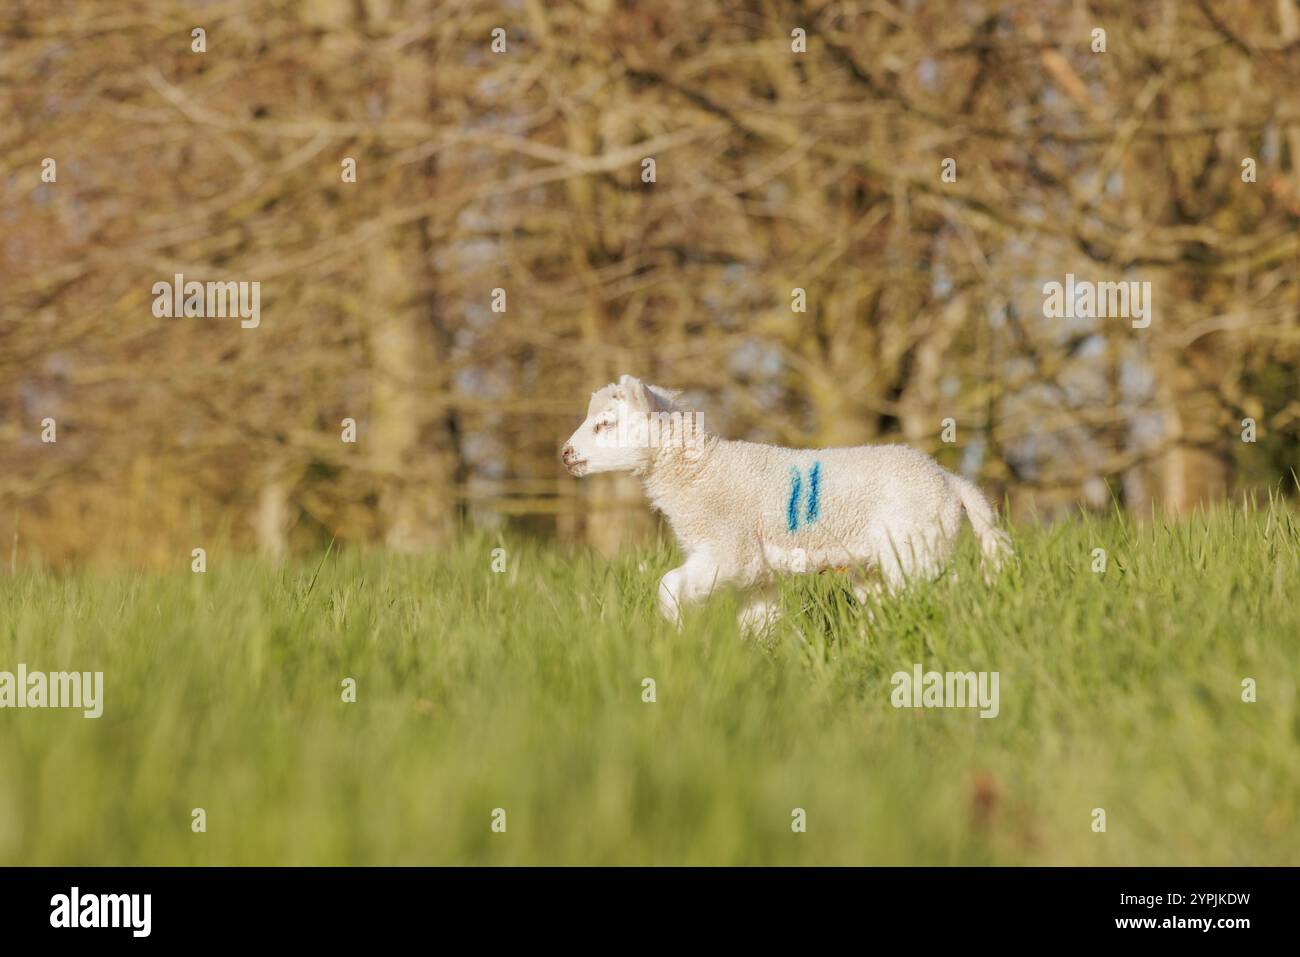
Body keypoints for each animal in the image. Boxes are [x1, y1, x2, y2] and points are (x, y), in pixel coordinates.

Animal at [561, 374, 1013, 634]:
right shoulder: (754, 574)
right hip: (882, 562)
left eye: (605, 424)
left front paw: (673, 635)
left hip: (916, 545)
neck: (703, 472)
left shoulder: (731, 550)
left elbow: (668, 586)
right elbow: (759, 621)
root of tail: (952, 482)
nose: (565, 454)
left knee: (951, 589)